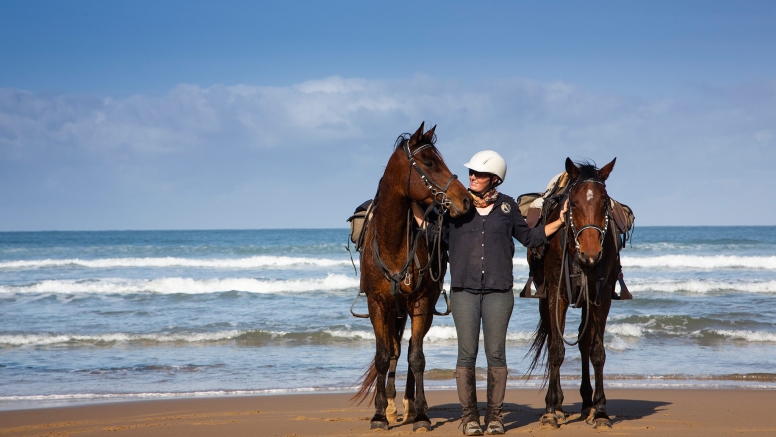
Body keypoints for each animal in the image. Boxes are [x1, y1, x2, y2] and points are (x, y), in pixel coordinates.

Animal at [354, 122, 472, 430]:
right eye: (430, 163)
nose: (466, 200)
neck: (393, 243)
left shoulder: (420, 304)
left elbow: (416, 357)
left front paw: (420, 414)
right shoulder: (377, 305)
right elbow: (384, 356)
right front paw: (380, 414)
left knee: (409, 349)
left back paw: (409, 405)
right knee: (395, 349)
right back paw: (392, 406)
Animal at [528, 158, 620, 430]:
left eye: (604, 202)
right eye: (574, 203)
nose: (591, 254)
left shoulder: (602, 295)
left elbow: (597, 351)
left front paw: (600, 411)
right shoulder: (556, 294)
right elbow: (556, 349)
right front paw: (551, 410)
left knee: (584, 342)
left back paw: (587, 404)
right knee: (553, 339)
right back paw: (557, 406)